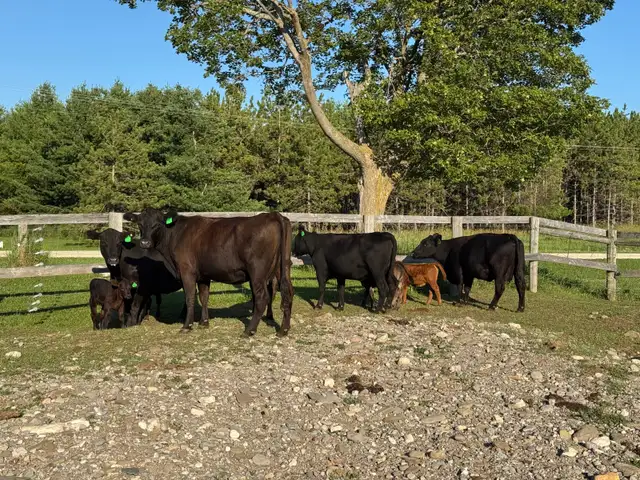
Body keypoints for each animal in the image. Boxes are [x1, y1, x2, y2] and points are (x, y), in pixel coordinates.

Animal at [123, 208, 294, 337]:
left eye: (157, 224)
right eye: (139, 224)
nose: (145, 243)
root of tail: (273, 215)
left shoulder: (187, 271)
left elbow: (190, 298)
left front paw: (187, 326)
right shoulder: (203, 275)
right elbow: (204, 297)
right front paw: (204, 323)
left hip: (257, 271)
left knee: (262, 297)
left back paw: (249, 330)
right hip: (282, 267)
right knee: (287, 292)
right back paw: (283, 330)